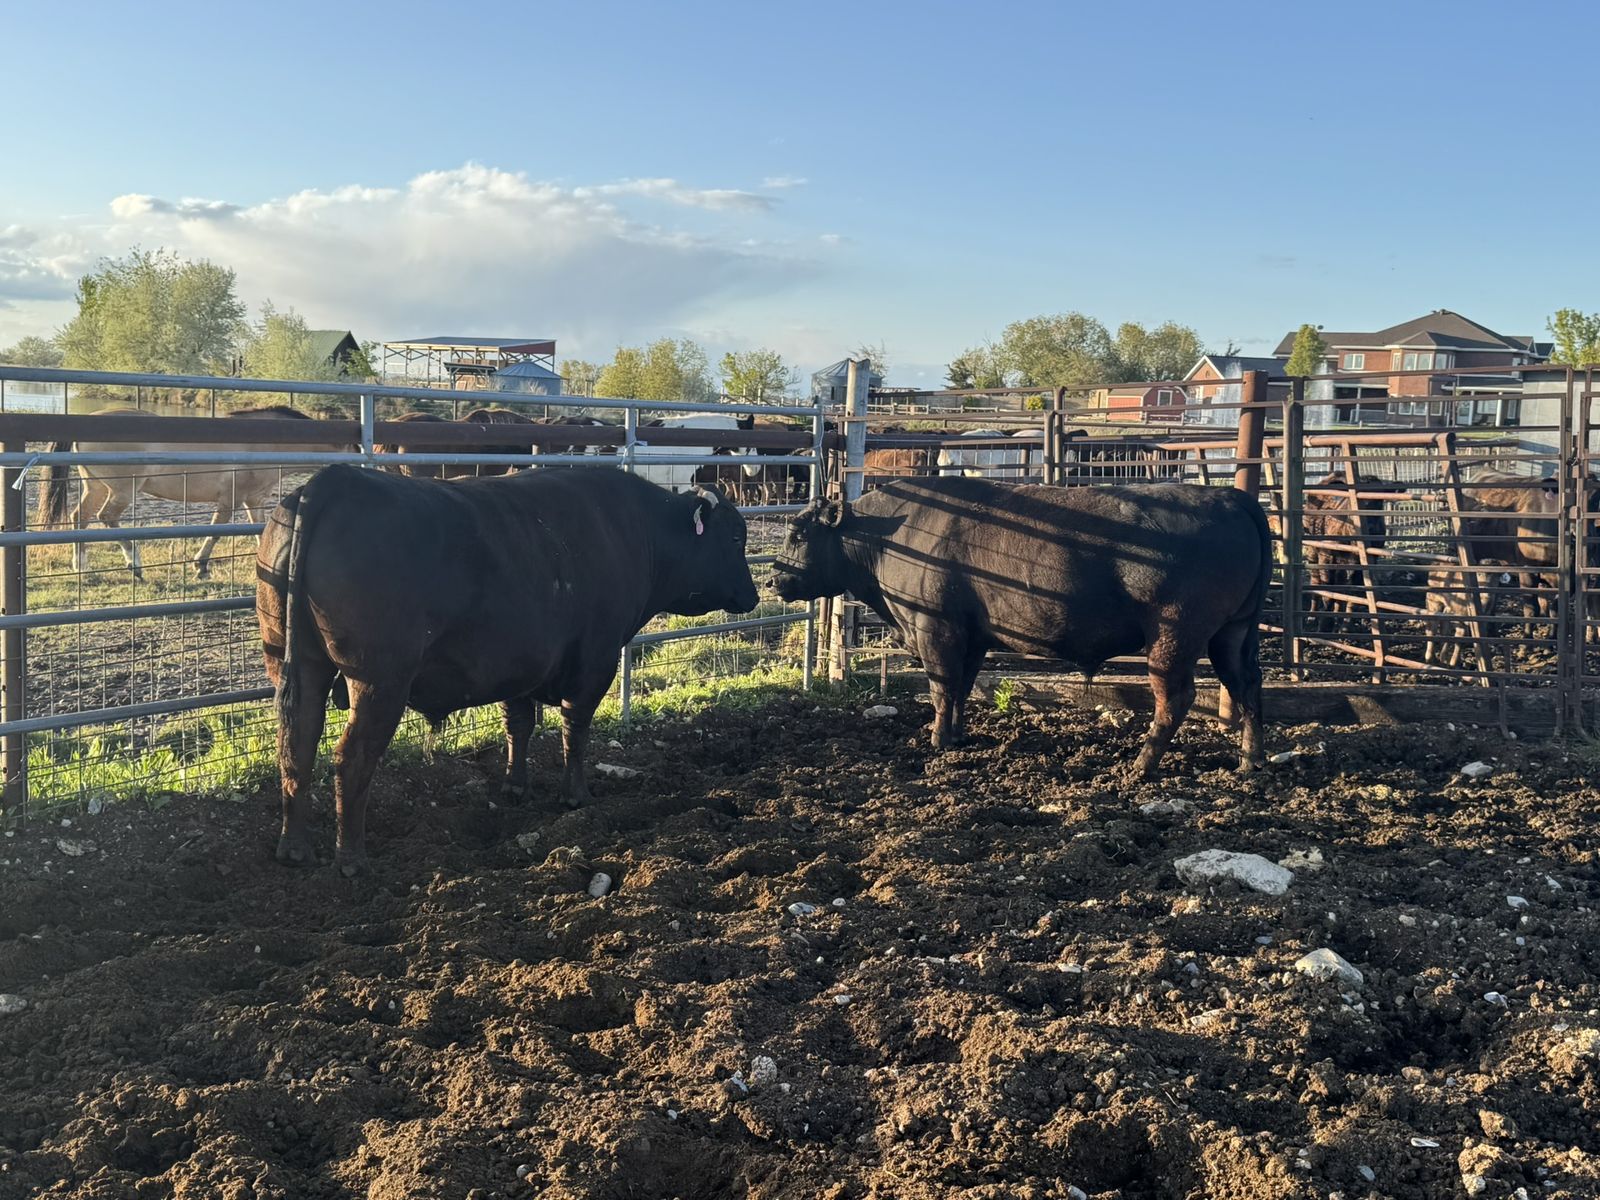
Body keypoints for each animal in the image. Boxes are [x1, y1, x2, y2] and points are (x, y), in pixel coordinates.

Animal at [256, 465, 758, 874]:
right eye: (736, 538)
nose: (754, 595)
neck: (636, 532)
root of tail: (334, 480)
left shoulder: (520, 664)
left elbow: (519, 724)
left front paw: (517, 786)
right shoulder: (595, 661)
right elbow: (575, 731)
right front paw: (576, 796)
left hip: (299, 665)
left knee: (296, 746)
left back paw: (293, 847)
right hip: (379, 681)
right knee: (351, 758)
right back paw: (351, 858)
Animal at [772, 478, 1271, 778]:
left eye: (798, 534)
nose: (776, 578)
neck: (891, 535)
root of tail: (1231, 497)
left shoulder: (935, 630)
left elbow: (941, 686)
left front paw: (937, 739)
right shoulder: (972, 637)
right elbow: (962, 688)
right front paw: (957, 735)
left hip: (1173, 638)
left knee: (1175, 698)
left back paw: (1141, 764)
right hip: (1232, 634)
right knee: (1247, 686)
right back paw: (1250, 760)